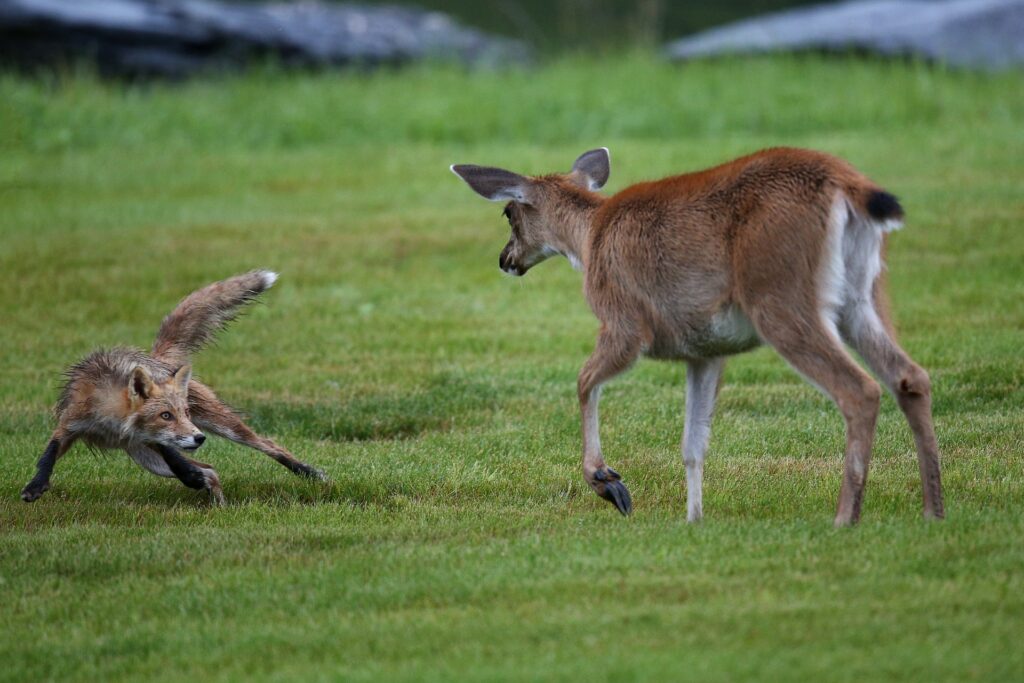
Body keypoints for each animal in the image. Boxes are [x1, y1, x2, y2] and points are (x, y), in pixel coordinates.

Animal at [20, 270, 326, 505]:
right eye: (165, 415)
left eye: (183, 413)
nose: (199, 438)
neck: (113, 418)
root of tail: (155, 358)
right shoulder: (72, 421)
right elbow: (48, 453)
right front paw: (35, 486)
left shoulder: (158, 438)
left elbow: (179, 460)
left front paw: (190, 476)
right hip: (145, 458)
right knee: (211, 470)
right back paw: (218, 504)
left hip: (217, 426)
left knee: (267, 446)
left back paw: (308, 473)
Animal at [451, 147, 944, 526]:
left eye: (508, 212)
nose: (505, 259)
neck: (590, 239)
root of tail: (847, 184)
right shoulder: (704, 349)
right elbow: (693, 442)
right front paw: (694, 519)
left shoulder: (625, 322)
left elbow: (584, 381)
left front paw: (609, 484)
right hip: (861, 296)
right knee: (910, 376)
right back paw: (933, 511)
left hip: (780, 294)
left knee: (859, 389)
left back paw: (845, 518)